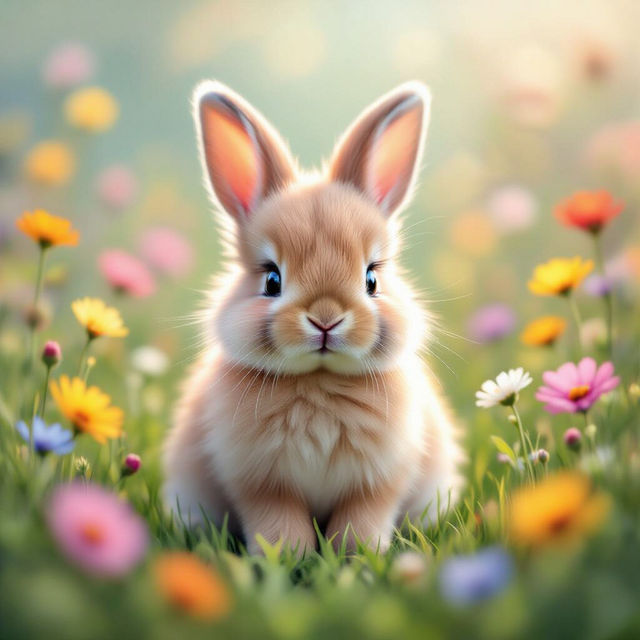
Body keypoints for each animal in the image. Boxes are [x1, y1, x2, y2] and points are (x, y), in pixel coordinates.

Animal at [163, 80, 464, 555]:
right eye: (272, 280)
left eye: (371, 279)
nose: (326, 320)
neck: (319, 381)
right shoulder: (260, 484)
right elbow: (278, 522)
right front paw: (287, 556)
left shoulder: (378, 484)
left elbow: (363, 520)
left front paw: (357, 554)